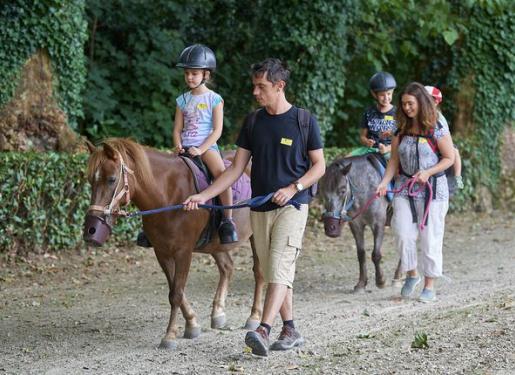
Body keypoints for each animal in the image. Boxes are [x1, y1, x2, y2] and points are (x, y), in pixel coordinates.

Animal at [83, 140, 266, 352]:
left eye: (112, 179)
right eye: (91, 180)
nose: (91, 231)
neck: (167, 194)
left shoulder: (183, 252)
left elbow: (177, 294)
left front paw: (170, 335)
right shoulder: (162, 252)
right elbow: (175, 289)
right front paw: (192, 324)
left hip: (255, 236)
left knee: (258, 272)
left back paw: (254, 316)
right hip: (214, 244)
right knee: (227, 267)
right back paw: (218, 313)